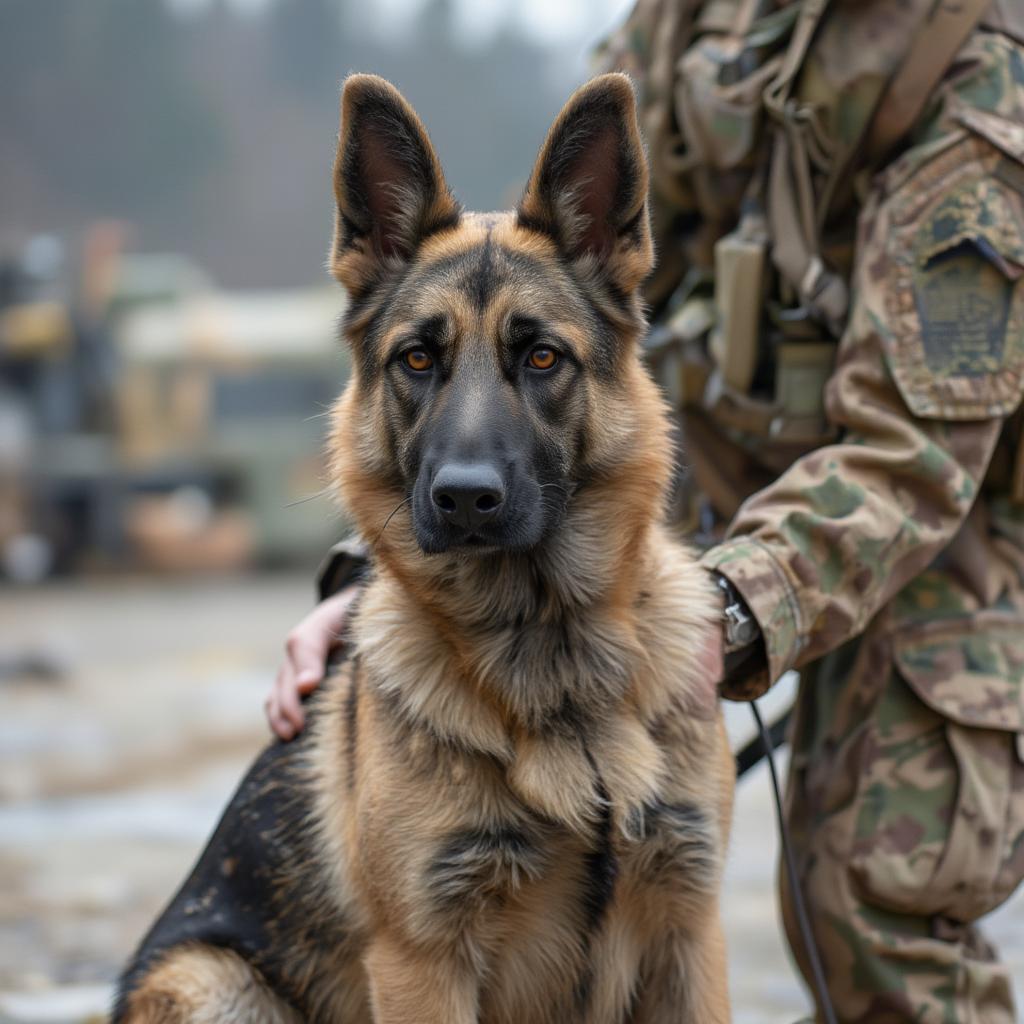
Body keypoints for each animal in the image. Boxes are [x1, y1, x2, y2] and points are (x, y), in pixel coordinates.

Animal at [114, 74, 737, 1024]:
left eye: (542, 357)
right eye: (416, 359)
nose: (465, 498)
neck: (552, 661)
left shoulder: (690, 939)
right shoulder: (423, 963)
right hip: (210, 982)